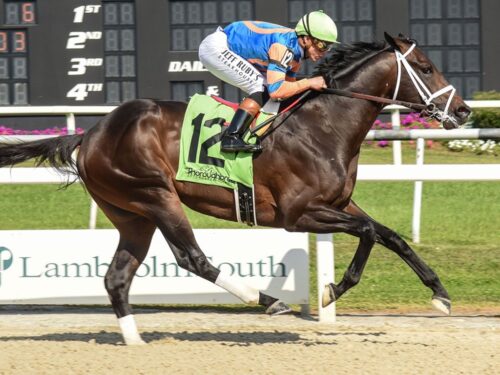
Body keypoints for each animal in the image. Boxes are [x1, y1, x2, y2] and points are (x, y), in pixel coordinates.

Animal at [0, 33, 470, 346]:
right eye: (425, 67)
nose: (463, 110)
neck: (323, 126)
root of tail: (92, 133)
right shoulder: (298, 214)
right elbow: (371, 234)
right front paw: (332, 290)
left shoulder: (339, 203)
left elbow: (391, 235)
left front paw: (440, 294)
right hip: (156, 195)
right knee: (192, 258)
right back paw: (267, 300)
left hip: (132, 214)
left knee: (117, 277)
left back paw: (135, 342)